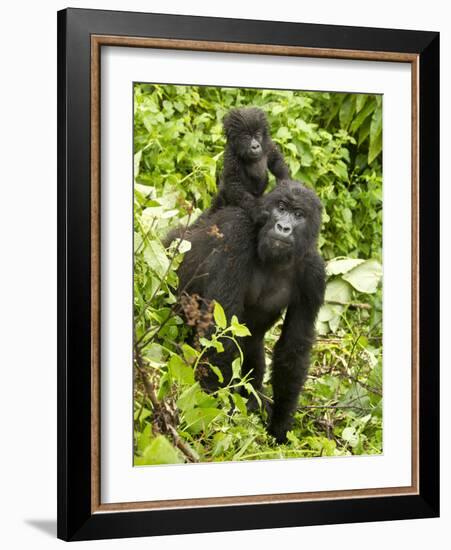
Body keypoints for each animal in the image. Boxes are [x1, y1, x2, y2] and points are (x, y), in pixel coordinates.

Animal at [173, 181, 324, 444]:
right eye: (281, 207)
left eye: (298, 215)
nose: (283, 227)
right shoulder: (237, 232)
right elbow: (221, 329)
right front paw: (213, 408)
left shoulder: (314, 274)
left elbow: (293, 349)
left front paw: (280, 425)